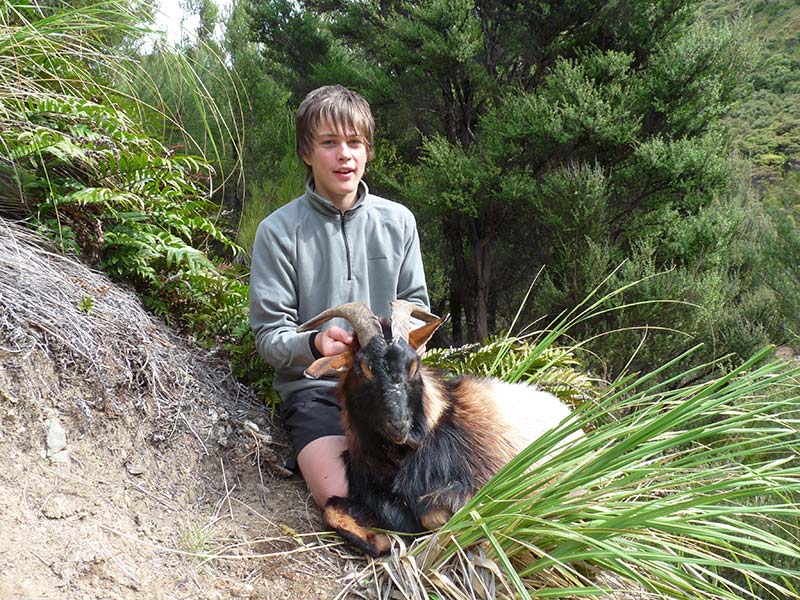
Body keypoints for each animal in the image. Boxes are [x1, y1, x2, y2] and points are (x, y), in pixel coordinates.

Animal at [297, 300, 581, 557]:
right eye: (364, 367)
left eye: (414, 366)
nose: (399, 425)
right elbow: (332, 510)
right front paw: (381, 540)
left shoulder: (474, 490)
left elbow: (432, 517)